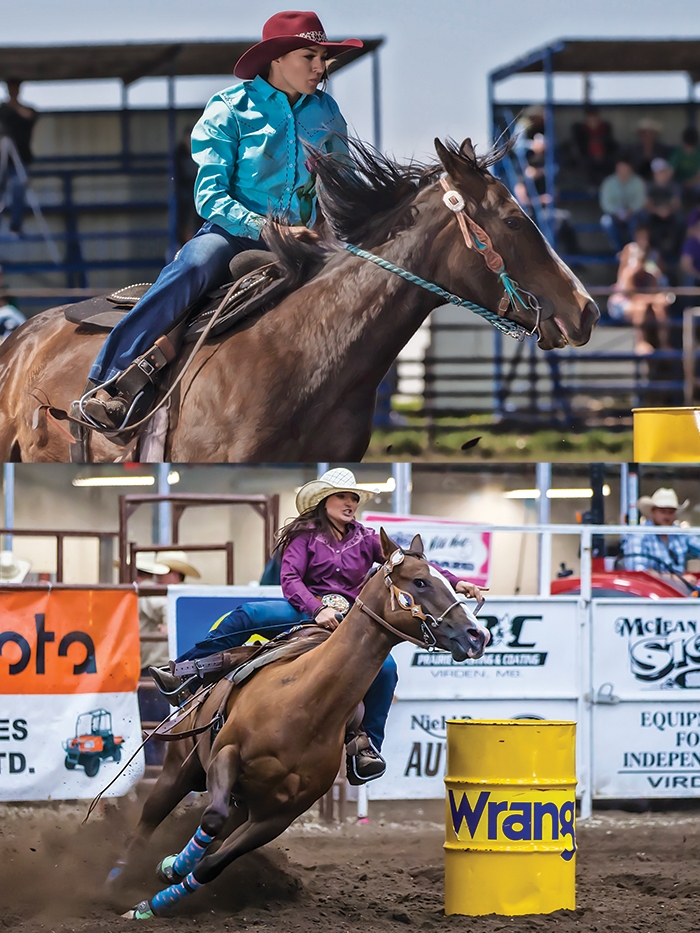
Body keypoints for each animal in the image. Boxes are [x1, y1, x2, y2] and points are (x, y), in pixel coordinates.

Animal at [112, 532, 490, 916]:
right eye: (420, 581)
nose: (477, 635)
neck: (304, 707)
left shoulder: (279, 816)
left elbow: (211, 864)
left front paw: (160, 889)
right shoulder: (225, 755)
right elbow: (211, 817)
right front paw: (166, 870)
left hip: (242, 804)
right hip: (180, 769)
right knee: (147, 822)